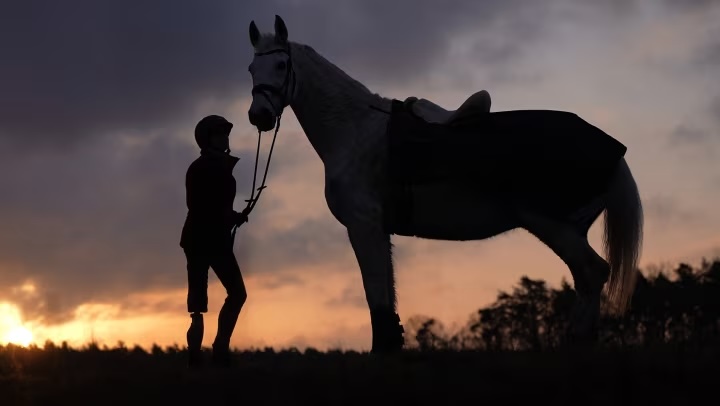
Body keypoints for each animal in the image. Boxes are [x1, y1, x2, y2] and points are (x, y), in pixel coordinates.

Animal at [245, 15, 643, 353]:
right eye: (251, 68)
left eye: (281, 66)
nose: (259, 116)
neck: (355, 130)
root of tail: (612, 148)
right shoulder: (378, 230)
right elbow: (386, 302)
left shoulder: (363, 226)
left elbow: (376, 298)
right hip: (569, 228)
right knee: (587, 278)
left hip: (553, 225)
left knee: (592, 272)